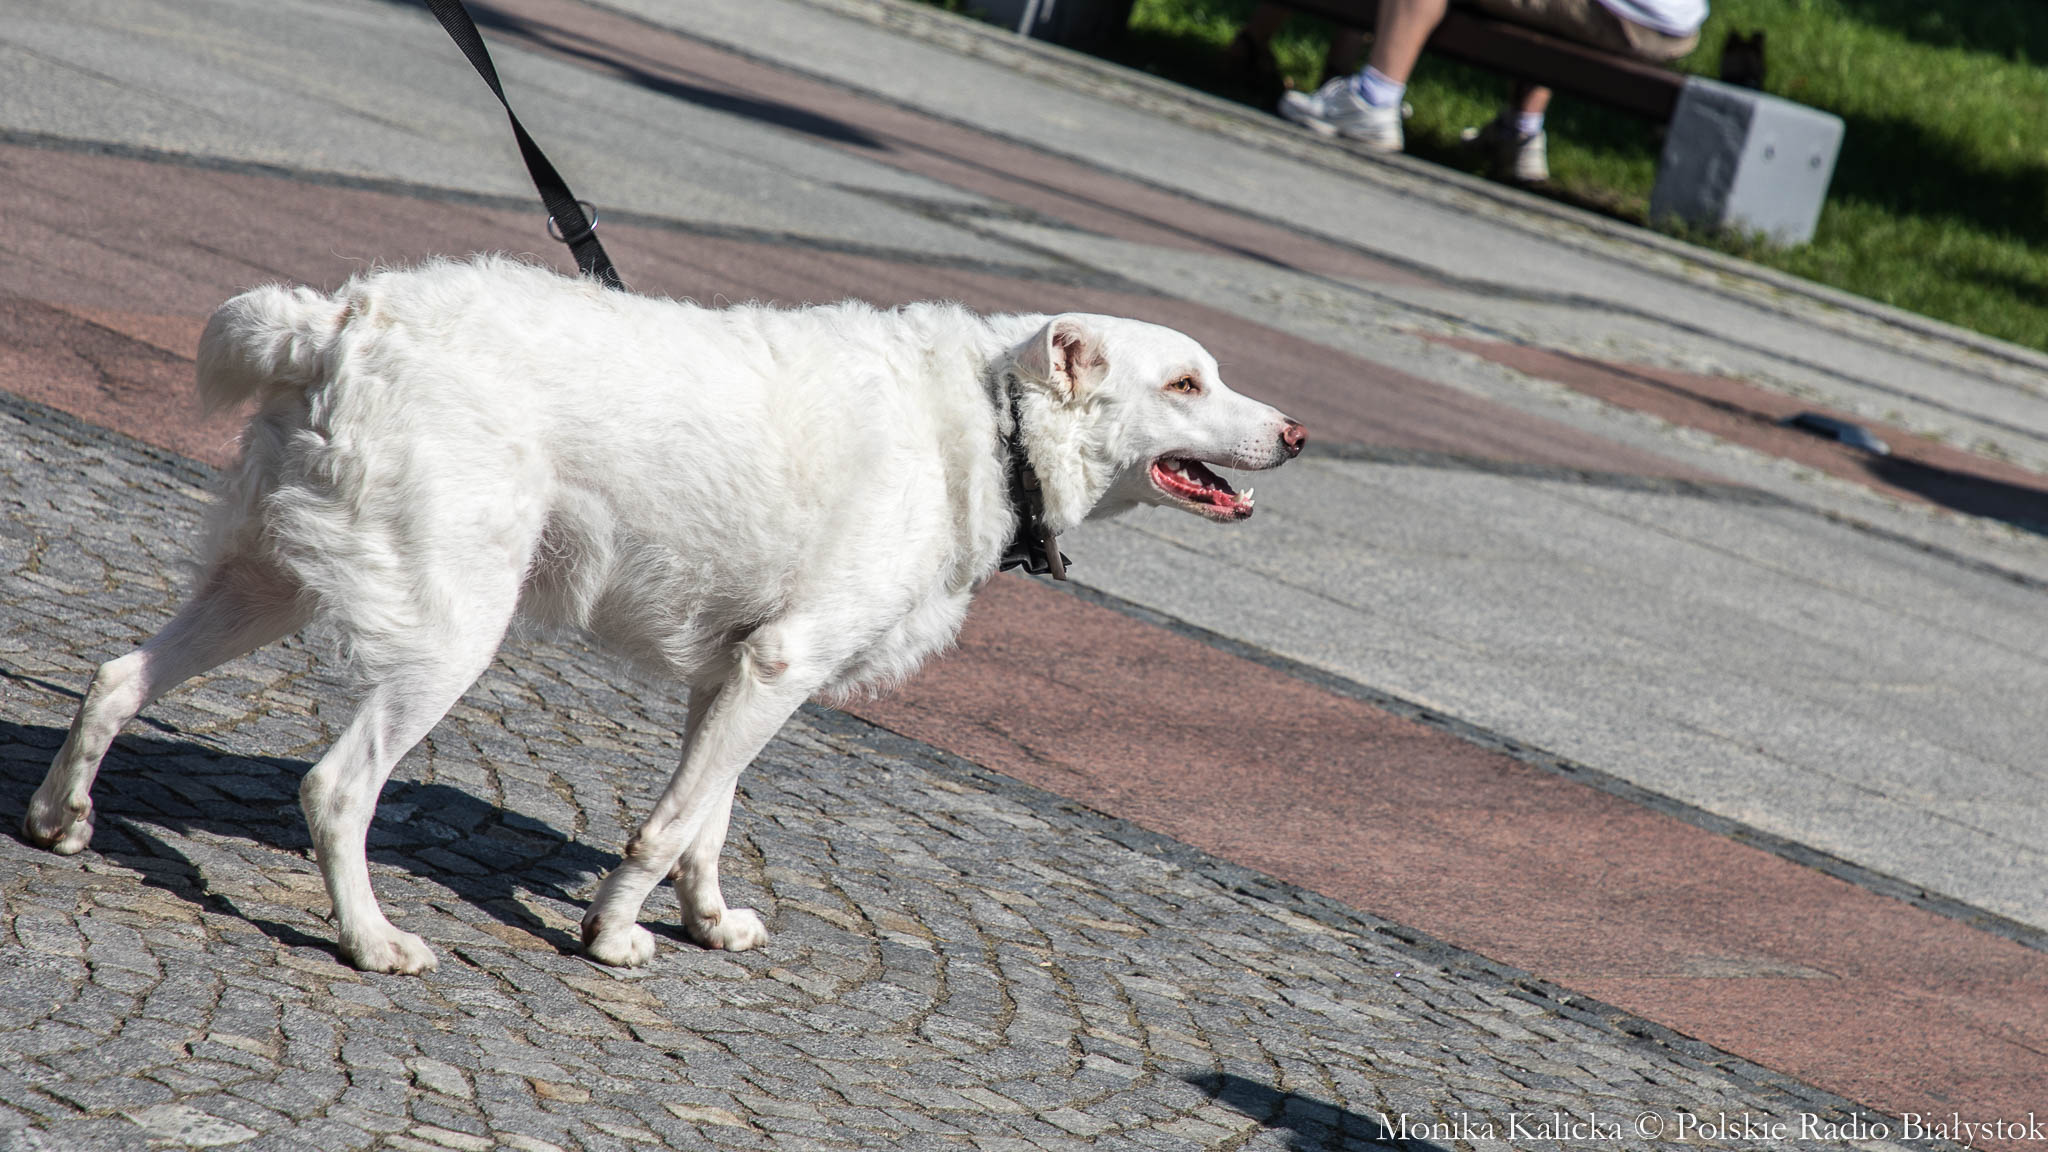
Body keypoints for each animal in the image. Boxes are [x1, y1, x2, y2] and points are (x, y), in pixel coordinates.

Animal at [23, 257, 1306, 974]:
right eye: (1185, 383)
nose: (1295, 434)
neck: (993, 423)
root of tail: (342, 320)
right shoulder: (779, 665)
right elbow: (664, 826)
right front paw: (612, 936)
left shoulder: (739, 675)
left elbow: (710, 821)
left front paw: (707, 919)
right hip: (449, 630)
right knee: (336, 787)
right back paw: (370, 941)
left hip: (268, 583)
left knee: (116, 677)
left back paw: (59, 819)